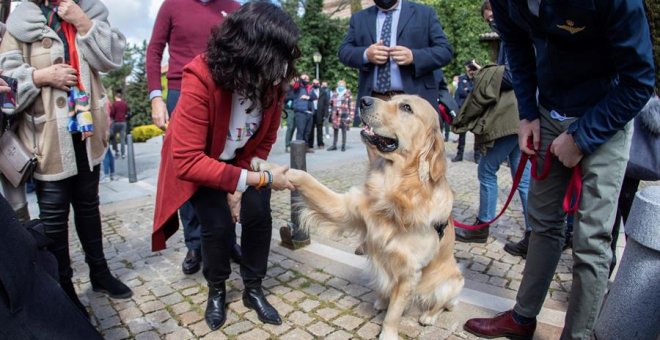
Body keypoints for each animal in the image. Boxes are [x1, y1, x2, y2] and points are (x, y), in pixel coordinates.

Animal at [284, 94, 464, 338]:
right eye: (391, 98)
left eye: (406, 107)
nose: (364, 100)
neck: (396, 188)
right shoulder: (345, 208)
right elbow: (307, 180)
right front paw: (269, 168)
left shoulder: (410, 272)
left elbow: (394, 313)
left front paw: (388, 333)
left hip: (452, 282)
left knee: (440, 303)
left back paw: (428, 316)